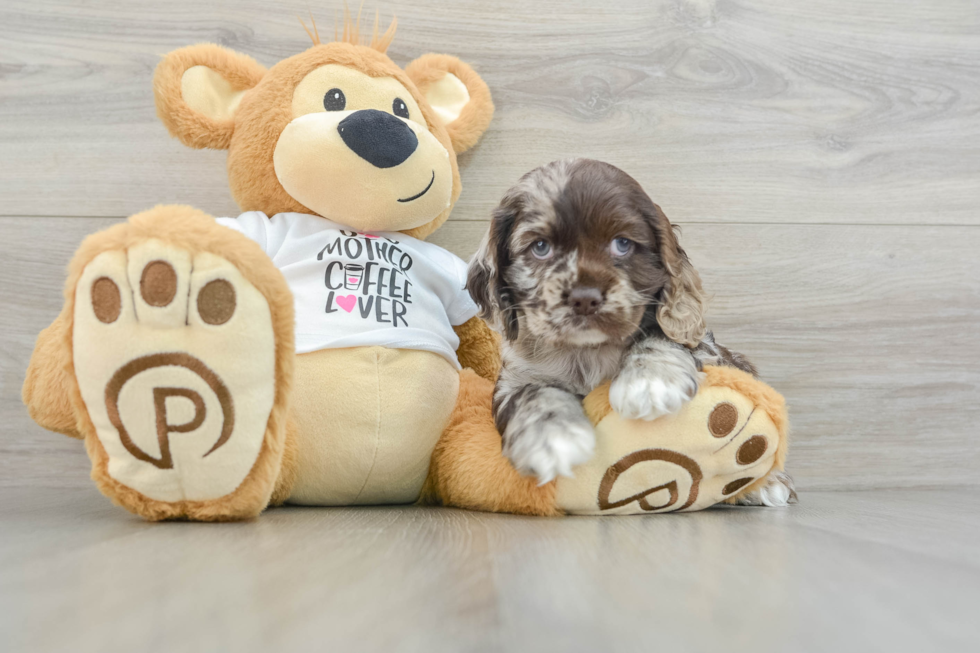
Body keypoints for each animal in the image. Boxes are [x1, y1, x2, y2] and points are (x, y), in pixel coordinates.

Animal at [468, 158, 796, 504]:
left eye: (622, 244)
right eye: (540, 247)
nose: (585, 298)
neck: (587, 351)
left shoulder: (703, 346)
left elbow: (661, 335)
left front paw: (650, 382)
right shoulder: (515, 378)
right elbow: (533, 395)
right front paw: (553, 439)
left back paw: (767, 485)